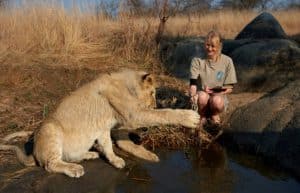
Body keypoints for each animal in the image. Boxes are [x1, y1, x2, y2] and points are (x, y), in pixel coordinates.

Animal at [1, 69, 200, 178]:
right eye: (152, 93)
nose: (153, 104)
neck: (127, 85)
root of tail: (33, 151)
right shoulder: (132, 114)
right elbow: (162, 114)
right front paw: (190, 117)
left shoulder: (103, 127)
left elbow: (108, 146)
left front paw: (116, 160)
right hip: (50, 129)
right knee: (51, 164)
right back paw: (75, 169)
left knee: (67, 157)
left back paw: (90, 155)